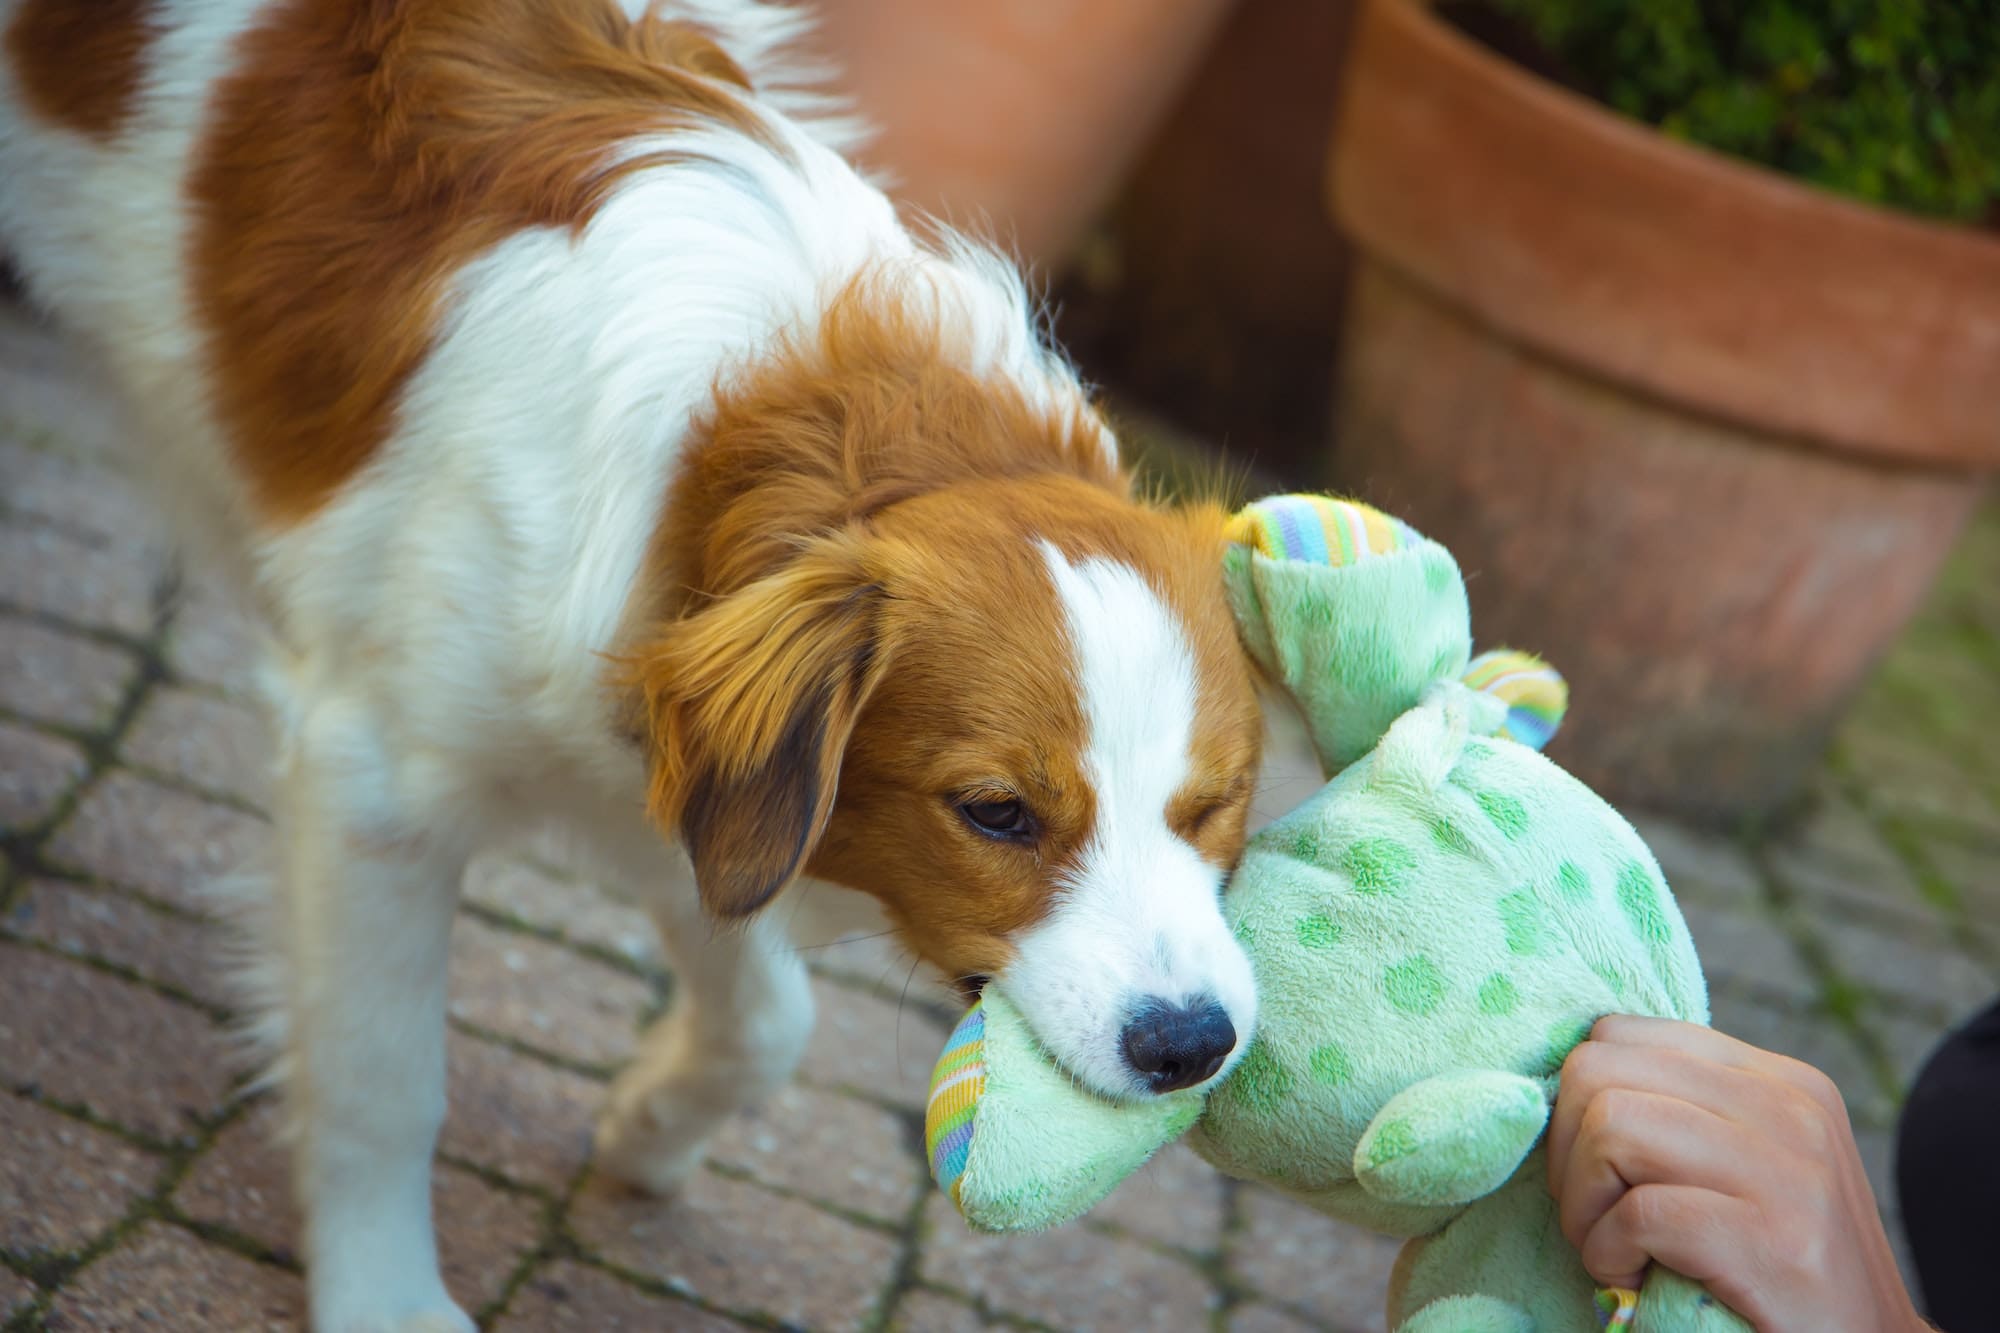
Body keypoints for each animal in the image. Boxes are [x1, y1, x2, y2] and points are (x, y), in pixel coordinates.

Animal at [0, 5, 1264, 1320]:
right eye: (996, 813)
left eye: (1215, 803)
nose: (1191, 1042)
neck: (739, 443)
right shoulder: (373, 786)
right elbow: (380, 1079)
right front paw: (383, 1293)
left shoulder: (699, 791)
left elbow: (769, 1019)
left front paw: (652, 1125)